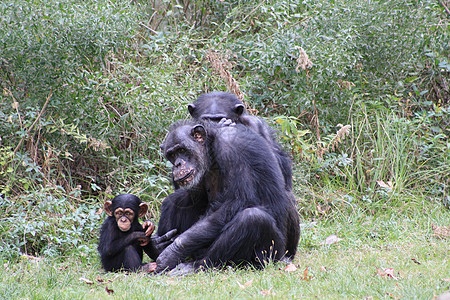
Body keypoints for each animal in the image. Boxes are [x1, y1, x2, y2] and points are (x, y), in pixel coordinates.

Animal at [156, 120, 300, 274]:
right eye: (171, 155)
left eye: (182, 150)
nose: (177, 164)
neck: (211, 148)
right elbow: (196, 196)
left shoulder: (231, 147)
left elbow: (238, 200)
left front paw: (172, 251)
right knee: (175, 200)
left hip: (272, 256)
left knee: (253, 218)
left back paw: (196, 265)